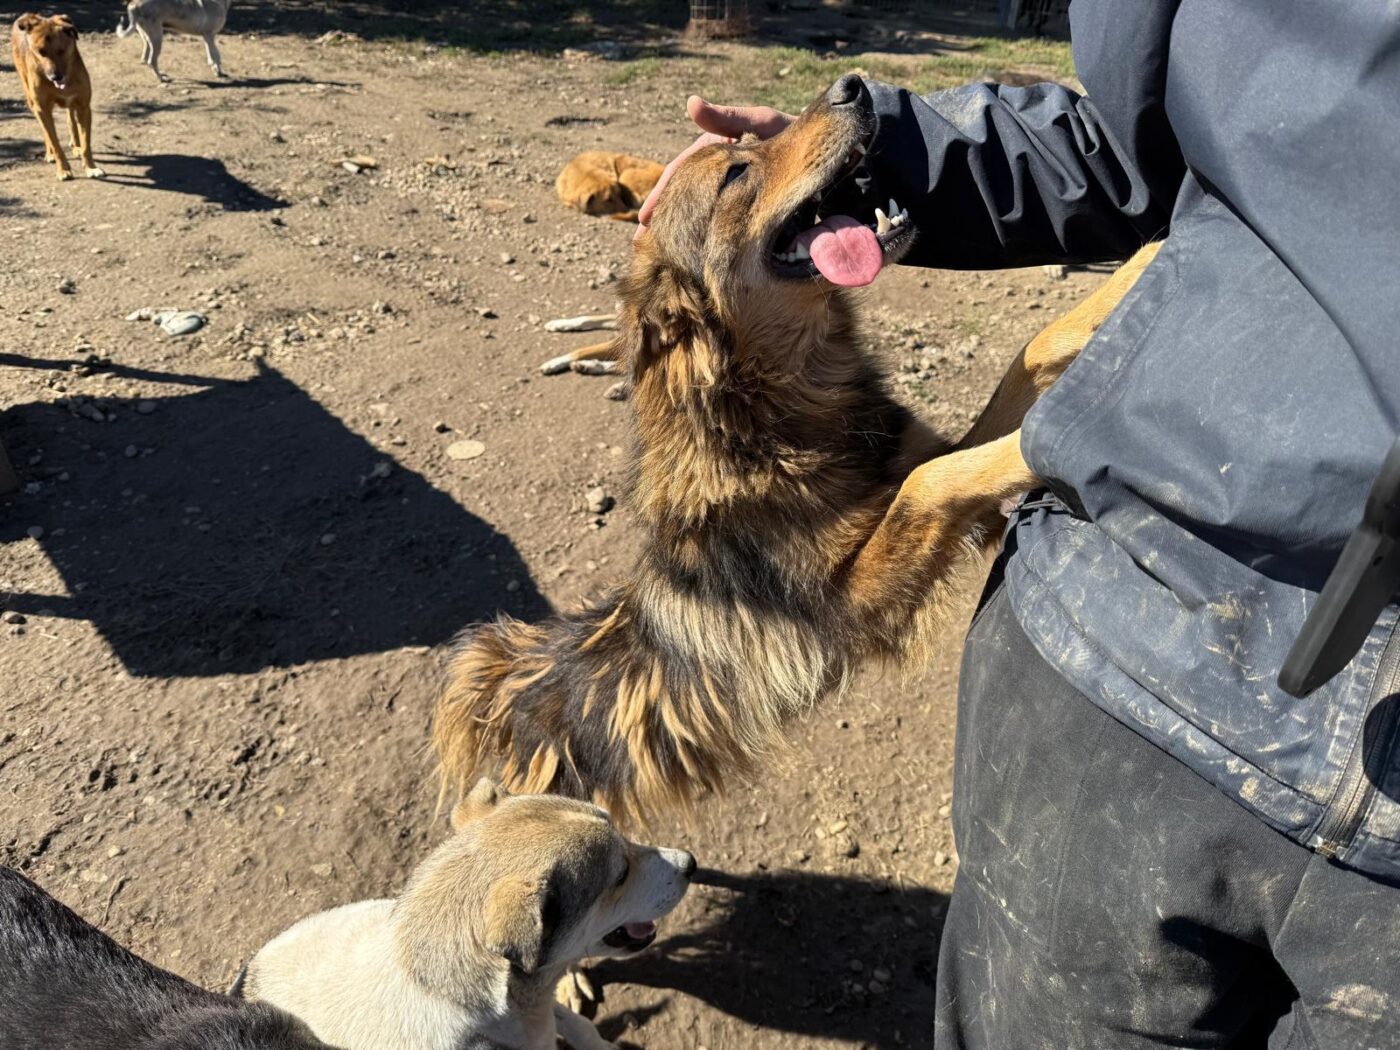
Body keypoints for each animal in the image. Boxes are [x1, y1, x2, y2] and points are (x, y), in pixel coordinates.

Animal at [10, 13, 104, 181]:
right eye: (41, 52)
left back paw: (76, 146)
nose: (55, 77)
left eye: (62, 50)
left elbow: (86, 142)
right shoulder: (42, 109)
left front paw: (90, 167)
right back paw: (50, 154)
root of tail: (27, 15)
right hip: (31, 100)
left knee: (70, 119)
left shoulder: (83, 106)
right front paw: (63, 169)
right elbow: (54, 141)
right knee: (45, 130)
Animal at [434, 73, 1161, 826]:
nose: (852, 84)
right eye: (736, 173)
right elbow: (931, 481)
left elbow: (1022, 362)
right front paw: (1061, 442)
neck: (783, 417)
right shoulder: (852, 605)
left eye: (750, 142)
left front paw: (1143, 266)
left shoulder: (945, 491)